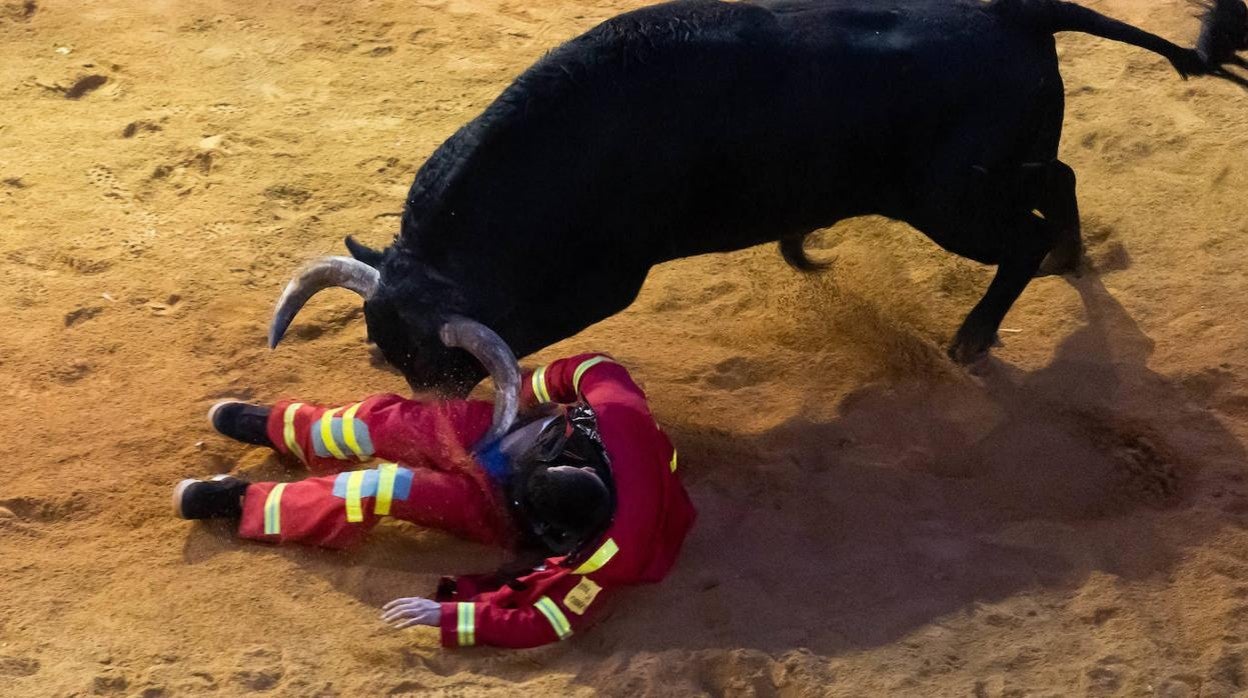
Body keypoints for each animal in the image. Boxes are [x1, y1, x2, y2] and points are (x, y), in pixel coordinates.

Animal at [265, 0, 1248, 432]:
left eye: (433, 362)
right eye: (384, 351)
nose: (420, 415)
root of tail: (1017, 10)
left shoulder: (607, 279)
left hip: (951, 204)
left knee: (1025, 233)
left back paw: (974, 336)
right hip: (996, 174)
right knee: (1064, 179)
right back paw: (1073, 261)